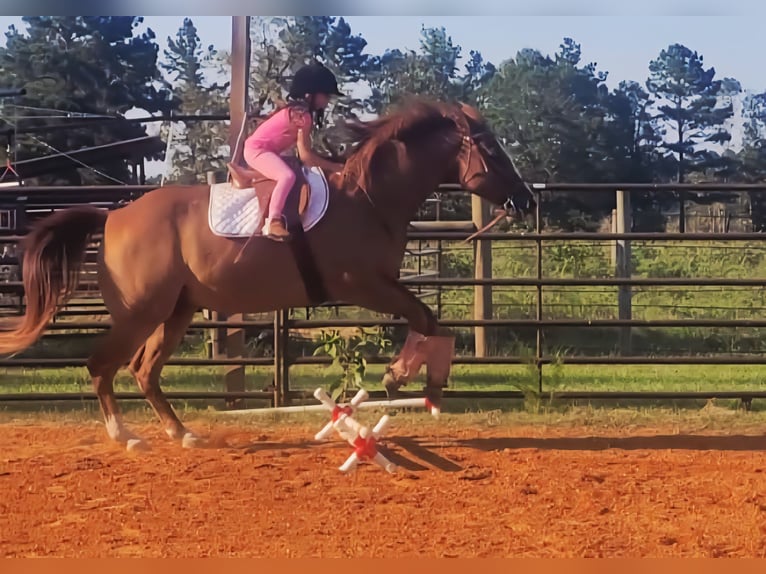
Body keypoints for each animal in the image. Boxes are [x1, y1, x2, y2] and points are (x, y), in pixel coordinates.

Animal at [0, 98, 536, 451]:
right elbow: (426, 319)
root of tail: (112, 217)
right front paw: (401, 377)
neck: (369, 197)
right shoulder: (364, 285)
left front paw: (412, 380)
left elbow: (430, 322)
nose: (527, 199)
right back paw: (126, 437)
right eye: (491, 148)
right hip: (141, 312)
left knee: (144, 370)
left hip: (178, 311)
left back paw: (183, 434)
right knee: (102, 365)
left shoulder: (380, 286)